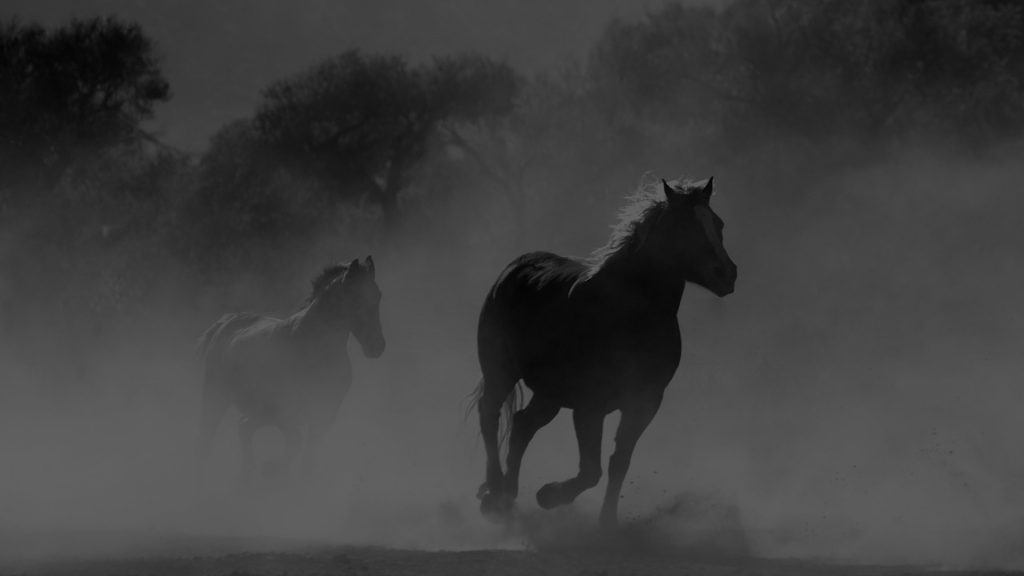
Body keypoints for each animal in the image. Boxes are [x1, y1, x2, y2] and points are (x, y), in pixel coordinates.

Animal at [195, 256, 385, 485]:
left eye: (378, 296)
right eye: (355, 298)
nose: (377, 346)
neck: (313, 347)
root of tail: (226, 322)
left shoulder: (324, 414)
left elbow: (309, 457)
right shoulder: (284, 412)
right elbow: (295, 443)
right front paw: (273, 469)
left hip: (258, 411)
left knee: (244, 428)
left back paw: (247, 473)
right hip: (216, 397)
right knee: (207, 438)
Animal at [472, 175, 737, 527]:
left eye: (717, 223)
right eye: (683, 225)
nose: (727, 274)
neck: (629, 314)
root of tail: (515, 268)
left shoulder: (644, 403)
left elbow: (618, 462)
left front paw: (606, 522)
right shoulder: (590, 406)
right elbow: (590, 471)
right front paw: (549, 495)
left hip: (550, 393)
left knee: (522, 425)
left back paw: (507, 495)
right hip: (500, 371)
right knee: (489, 414)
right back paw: (494, 493)